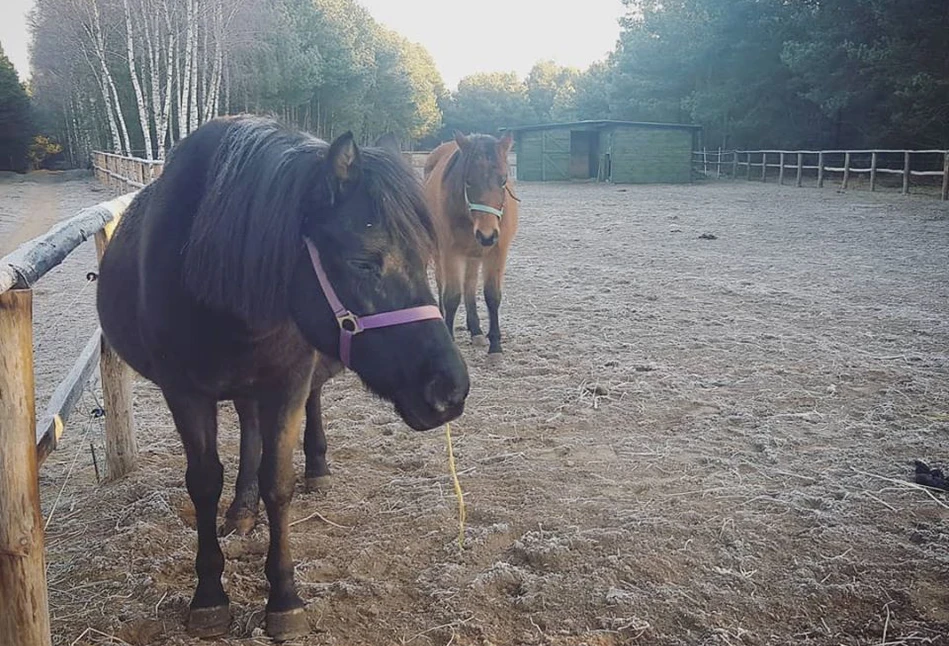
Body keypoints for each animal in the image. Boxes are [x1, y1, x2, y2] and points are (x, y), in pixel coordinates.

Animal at [96, 116, 466, 644]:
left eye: (424, 256)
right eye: (363, 261)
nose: (450, 389)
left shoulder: (288, 383)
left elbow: (279, 481)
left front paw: (284, 597)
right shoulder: (184, 393)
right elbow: (204, 482)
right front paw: (209, 594)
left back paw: (314, 468)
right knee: (248, 434)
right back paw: (241, 509)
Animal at [426, 131, 520, 354]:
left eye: (503, 181)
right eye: (468, 181)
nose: (487, 235)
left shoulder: (497, 252)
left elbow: (492, 296)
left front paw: (495, 346)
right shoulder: (450, 253)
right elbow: (451, 297)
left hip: (474, 255)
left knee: (469, 285)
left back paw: (475, 329)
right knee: (441, 282)